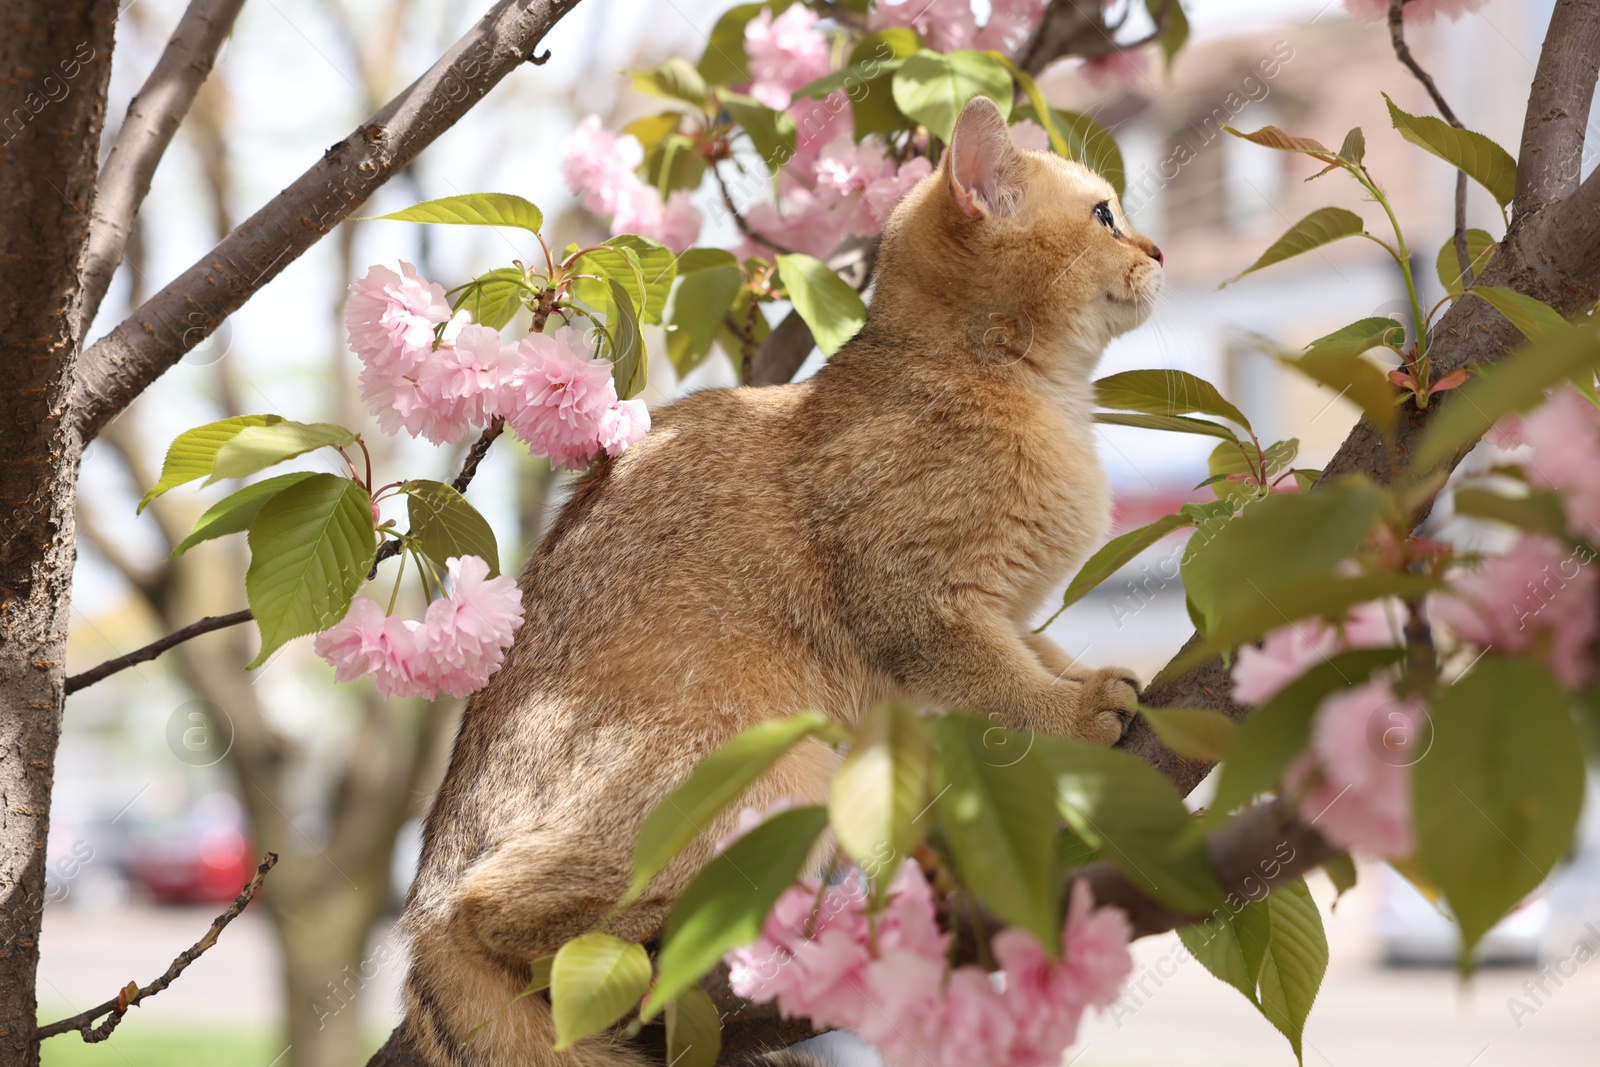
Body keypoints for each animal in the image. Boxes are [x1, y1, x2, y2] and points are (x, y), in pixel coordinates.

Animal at [398, 93, 1164, 1067]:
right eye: (1105, 215)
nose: (1159, 251)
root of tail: (420, 896)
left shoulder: (1006, 608)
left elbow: (1039, 650)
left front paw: (1087, 679)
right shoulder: (914, 605)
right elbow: (1000, 684)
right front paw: (1072, 711)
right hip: (775, 764)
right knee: (491, 911)